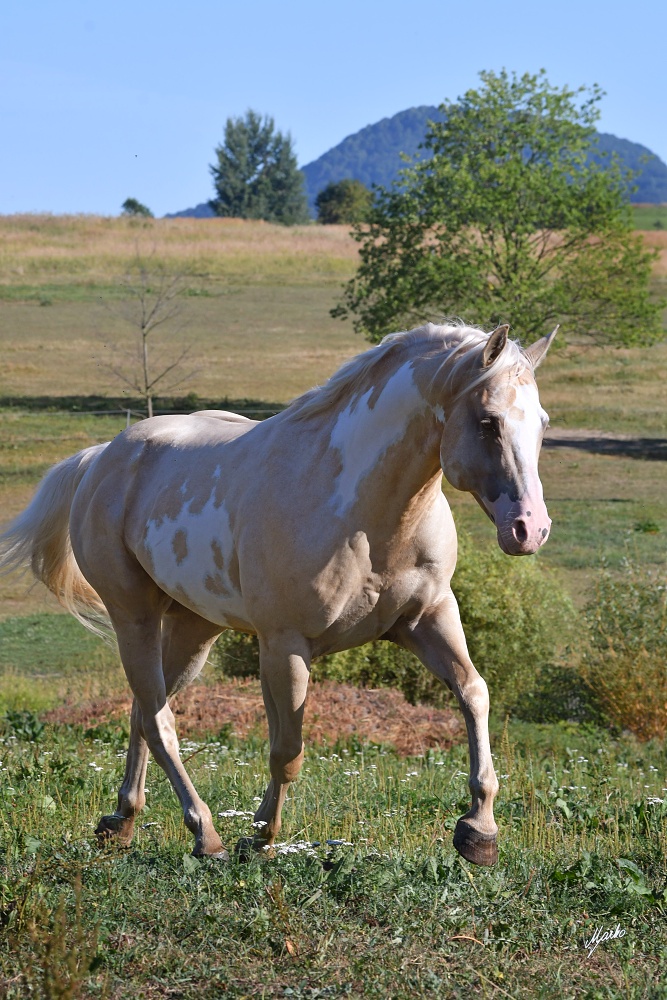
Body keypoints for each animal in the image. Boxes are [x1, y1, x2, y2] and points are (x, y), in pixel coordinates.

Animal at [0, 324, 556, 864]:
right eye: (488, 421)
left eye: (543, 423)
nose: (530, 529)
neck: (366, 516)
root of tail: (103, 457)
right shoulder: (285, 645)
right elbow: (287, 750)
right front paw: (260, 837)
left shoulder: (428, 619)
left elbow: (474, 693)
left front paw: (479, 831)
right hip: (132, 616)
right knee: (159, 721)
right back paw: (204, 834)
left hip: (194, 629)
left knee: (142, 711)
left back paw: (121, 822)